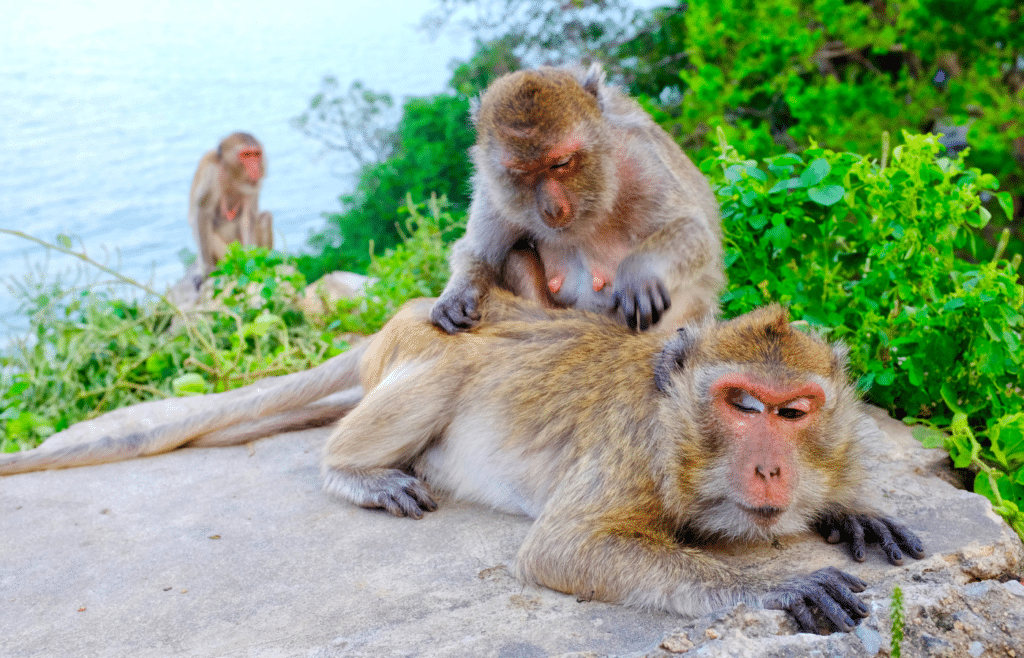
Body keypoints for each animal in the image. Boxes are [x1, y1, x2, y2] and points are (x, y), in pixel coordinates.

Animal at [189, 130, 274, 286]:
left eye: (256, 154)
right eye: (246, 155)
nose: (256, 168)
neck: (232, 175)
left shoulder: (253, 184)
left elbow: (248, 216)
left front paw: (251, 261)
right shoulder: (210, 172)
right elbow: (202, 213)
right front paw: (206, 270)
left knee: (266, 217)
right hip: (225, 255)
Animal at [321, 290, 929, 634]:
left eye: (794, 412)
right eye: (745, 405)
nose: (769, 470)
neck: (679, 426)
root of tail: (408, 311)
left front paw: (852, 510)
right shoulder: (640, 447)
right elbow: (564, 547)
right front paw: (779, 586)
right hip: (426, 351)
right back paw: (351, 472)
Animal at [430, 63, 720, 331]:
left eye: (561, 163)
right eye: (522, 172)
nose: (552, 208)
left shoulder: (637, 157)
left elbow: (693, 229)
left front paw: (640, 271)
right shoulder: (494, 190)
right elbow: (479, 253)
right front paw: (454, 296)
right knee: (515, 255)